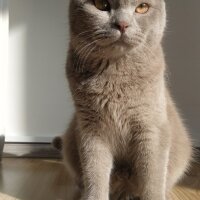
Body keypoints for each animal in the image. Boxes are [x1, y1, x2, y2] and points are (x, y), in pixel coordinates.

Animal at [59, 0, 192, 200]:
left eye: (142, 7)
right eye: (101, 4)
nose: (122, 24)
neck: (115, 75)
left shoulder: (152, 128)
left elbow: (152, 177)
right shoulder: (91, 129)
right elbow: (95, 173)